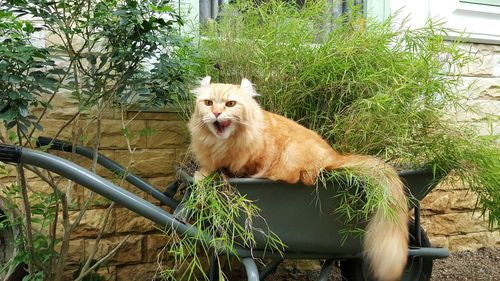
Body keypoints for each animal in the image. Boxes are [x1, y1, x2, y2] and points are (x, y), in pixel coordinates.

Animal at [188, 76, 410, 280]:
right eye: (208, 103)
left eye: (230, 104)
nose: (216, 113)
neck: (221, 146)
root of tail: (336, 155)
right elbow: (207, 171)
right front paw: (203, 177)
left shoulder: (254, 159)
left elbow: (234, 170)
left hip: (292, 155)